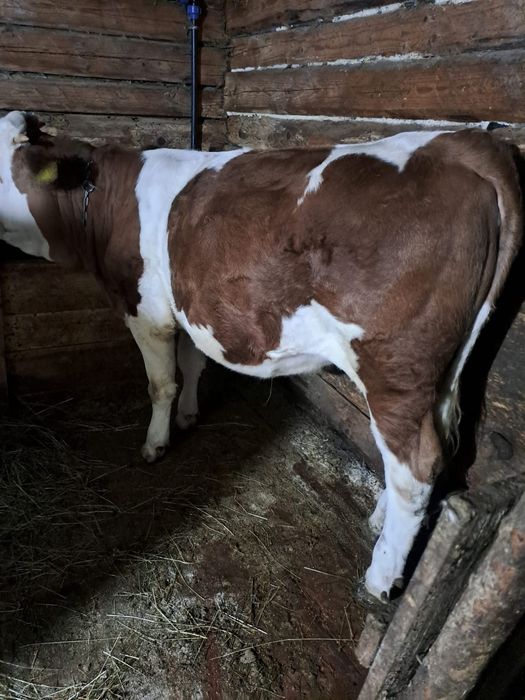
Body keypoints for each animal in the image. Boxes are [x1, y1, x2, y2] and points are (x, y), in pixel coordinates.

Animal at [0, 110, 521, 601]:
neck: (103, 201)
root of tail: (460, 143)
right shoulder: (188, 304)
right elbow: (193, 363)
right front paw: (189, 415)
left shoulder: (145, 310)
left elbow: (160, 383)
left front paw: (156, 443)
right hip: (444, 371)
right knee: (430, 447)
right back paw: (380, 521)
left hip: (394, 365)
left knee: (415, 465)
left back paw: (381, 576)